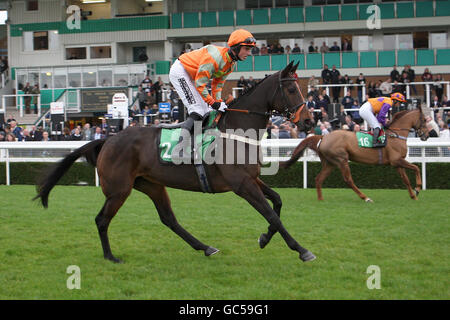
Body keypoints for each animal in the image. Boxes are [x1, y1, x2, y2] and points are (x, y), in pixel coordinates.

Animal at [35, 61, 316, 264]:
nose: (309, 121)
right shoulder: (242, 184)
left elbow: (277, 202)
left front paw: (264, 238)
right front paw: (301, 250)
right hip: (119, 190)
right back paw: (110, 256)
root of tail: (107, 140)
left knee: (168, 219)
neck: (237, 129)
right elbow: (272, 214)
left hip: (151, 185)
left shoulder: (252, 179)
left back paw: (206, 247)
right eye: (292, 89)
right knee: (101, 220)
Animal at [282, 107, 428, 202]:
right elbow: (416, 168)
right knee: (348, 180)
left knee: (319, 179)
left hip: (330, 163)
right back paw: (365, 197)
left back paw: (321, 199)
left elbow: (406, 179)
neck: (396, 135)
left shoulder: (397, 163)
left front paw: (413, 195)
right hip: (341, 159)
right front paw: (418, 188)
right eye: (425, 120)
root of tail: (323, 137)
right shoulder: (397, 160)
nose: (426, 135)